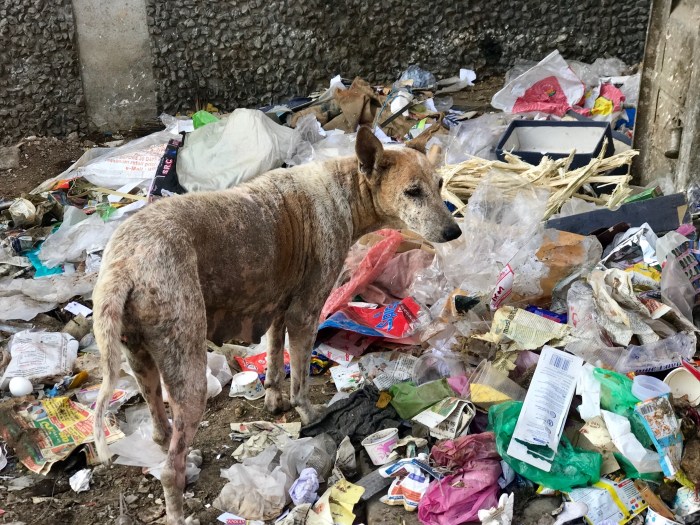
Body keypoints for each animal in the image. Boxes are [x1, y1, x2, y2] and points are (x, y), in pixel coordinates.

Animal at [92, 126, 462, 524]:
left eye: (440, 183)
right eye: (412, 191)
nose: (455, 231)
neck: (347, 189)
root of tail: (123, 264)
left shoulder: (278, 310)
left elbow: (272, 358)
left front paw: (272, 397)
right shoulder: (306, 314)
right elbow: (299, 379)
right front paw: (310, 414)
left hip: (140, 360)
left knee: (162, 434)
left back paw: (183, 457)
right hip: (188, 372)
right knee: (168, 469)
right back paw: (179, 510)